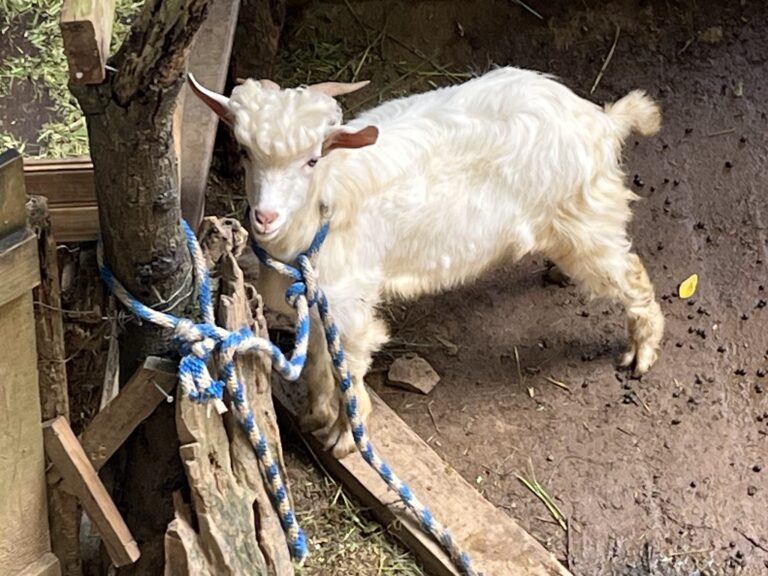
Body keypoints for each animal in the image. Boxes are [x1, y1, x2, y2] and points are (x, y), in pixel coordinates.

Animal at [189, 67, 665, 458]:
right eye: (245, 152)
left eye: (312, 159)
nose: (265, 217)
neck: (324, 205)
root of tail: (603, 121)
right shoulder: (319, 298)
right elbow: (323, 362)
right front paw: (317, 413)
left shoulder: (349, 301)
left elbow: (348, 367)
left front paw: (345, 435)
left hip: (585, 220)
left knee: (631, 274)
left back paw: (641, 350)